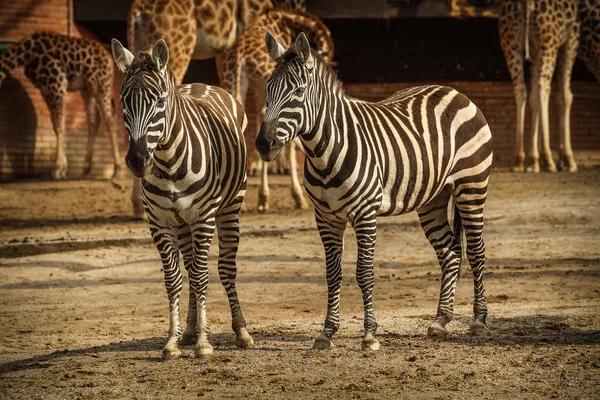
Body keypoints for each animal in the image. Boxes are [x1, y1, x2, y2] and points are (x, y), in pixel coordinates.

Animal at [0, 31, 123, 180]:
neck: (26, 54)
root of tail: (109, 58)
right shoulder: (45, 88)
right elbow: (55, 124)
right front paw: (62, 168)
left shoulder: (57, 83)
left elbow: (60, 124)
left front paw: (58, 170)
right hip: (87, 88)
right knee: (94, 121)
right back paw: (84, 171)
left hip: (100, 83)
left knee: (110, 118)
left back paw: (117, 170)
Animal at [111, 38, 254, 360]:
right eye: (123, 101)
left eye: (159, 101)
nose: (137, 160)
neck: (167, 162)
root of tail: (203, 84)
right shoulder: (159, 223)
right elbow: (174, 279)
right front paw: (173, 341)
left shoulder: (203, 218)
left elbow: (201, 276)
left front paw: (203, 343)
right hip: (181, 224)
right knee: (189, 266)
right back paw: (188, 330)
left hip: (229, 208)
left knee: (226, 268)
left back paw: (241, 331)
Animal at [258, 31, 492, 350]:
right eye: (267, 89)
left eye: (297, 92)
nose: (263, 144)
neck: (324, 153)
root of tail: (455, 92)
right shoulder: (326, 218)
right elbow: (333, 274)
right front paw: (327, 331)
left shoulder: (365, 213)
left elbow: (364, 273)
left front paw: (369, 334)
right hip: (433, 199)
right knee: (451, 253)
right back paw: (440, 320)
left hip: (472, 187)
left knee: (477, 251)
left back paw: (479, 321)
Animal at [496, 0, 600, 173]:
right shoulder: (571, 40)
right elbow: (564, 96)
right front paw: (566, 159)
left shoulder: (534, 50)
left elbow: (533, 99)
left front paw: (534, 160)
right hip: (548, 40)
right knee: (543, 87)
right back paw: (548, 159)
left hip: (511, 40)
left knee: (521, 89)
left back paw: (520, 159)